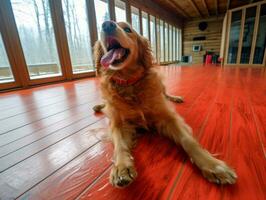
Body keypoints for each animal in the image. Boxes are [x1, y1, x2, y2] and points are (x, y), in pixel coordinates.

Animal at [94, 20, 237, 188]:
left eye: (128, 29)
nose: (106, 24)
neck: (129, 83)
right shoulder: (118, 123)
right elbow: (120, 145)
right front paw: (122, 167)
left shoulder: (168, 118)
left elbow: (188, 140)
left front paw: (212, 165)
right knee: (105, 106)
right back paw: (98, 106)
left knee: (165, 93)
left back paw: (175, 98)